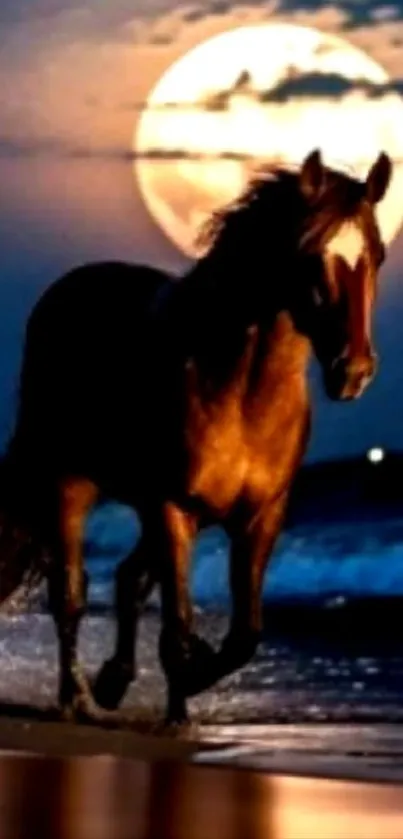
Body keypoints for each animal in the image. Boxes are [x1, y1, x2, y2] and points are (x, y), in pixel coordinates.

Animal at [0, 148, 392, 725]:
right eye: (310, 253)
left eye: (379, 255)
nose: (354, 372)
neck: (241, 395)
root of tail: (68, 288)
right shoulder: (173, 509)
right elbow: (177, 624)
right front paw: (177, 704)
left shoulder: (261, 518)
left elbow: (244, 635)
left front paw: (186, 685)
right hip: (70, 484)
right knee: (70, 592)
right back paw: (79, 699)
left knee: (128, 579)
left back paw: (115, 683)